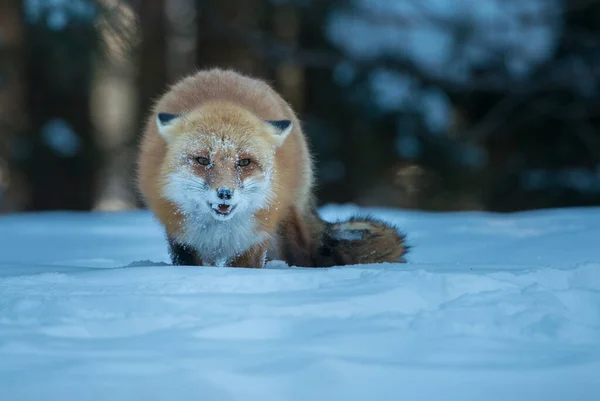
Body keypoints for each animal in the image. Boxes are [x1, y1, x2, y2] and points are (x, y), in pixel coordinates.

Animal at [136, 69, 408, 268]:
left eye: (244, 162)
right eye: (203, 160)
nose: (225, 193)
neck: (220, 231)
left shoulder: (254, 238)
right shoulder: (182, 239)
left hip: (287, 220)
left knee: (303, 255)